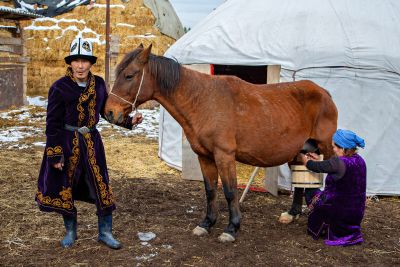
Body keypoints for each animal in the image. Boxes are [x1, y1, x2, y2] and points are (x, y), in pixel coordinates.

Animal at [104, 45, 338, 244]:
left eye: (129, 75)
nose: (109, 112)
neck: (203, 101)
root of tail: (324, 93)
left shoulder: (224, 156)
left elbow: (230, 191)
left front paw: (231, 228)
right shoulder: (204, 156)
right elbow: (210, 190)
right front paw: (206, 223)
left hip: (325, 147)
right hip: (298, 150)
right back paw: (291, 214)